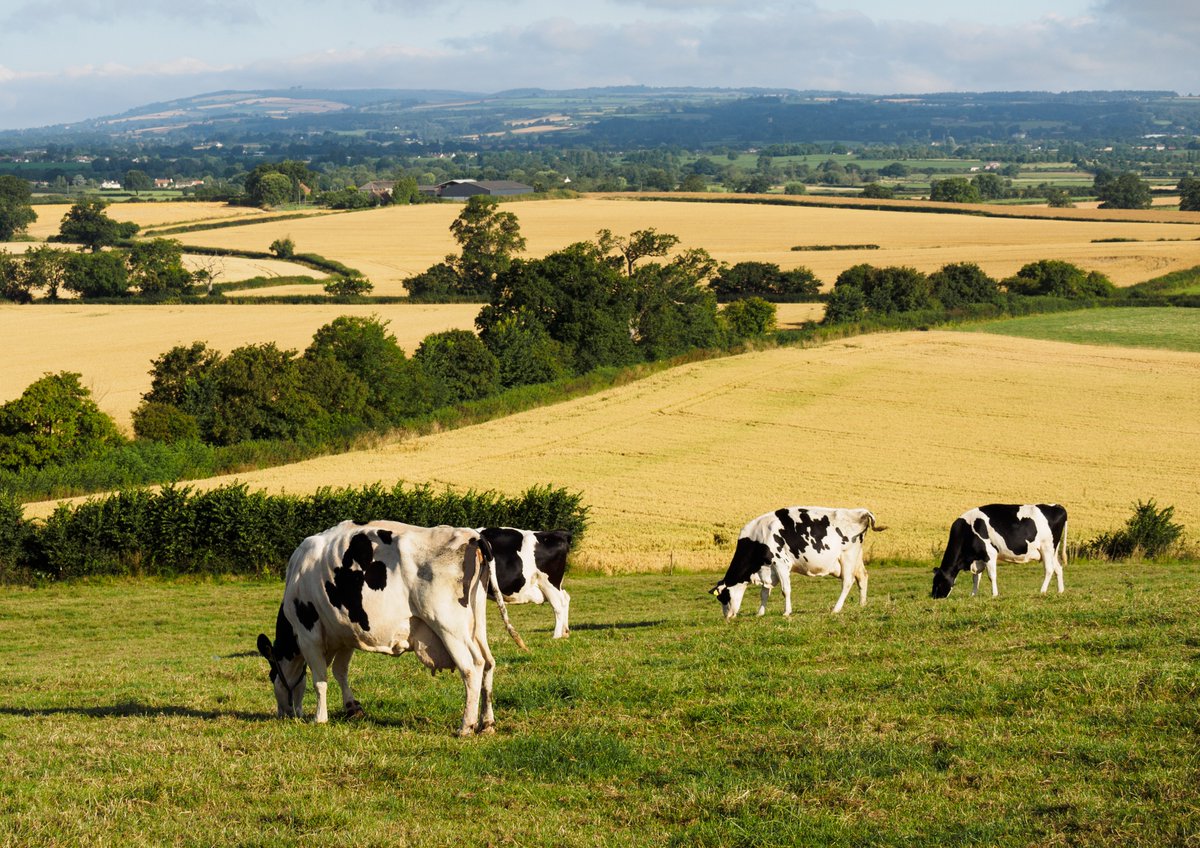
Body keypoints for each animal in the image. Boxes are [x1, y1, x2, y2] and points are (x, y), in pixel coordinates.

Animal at [255, 518, 523, 734]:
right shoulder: (345, 632)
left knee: (472, 667)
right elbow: (340, 672)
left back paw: (466, 725)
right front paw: (352, 708)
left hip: (449, 625)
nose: (285, 713)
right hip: (476, 624)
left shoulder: (308, 634)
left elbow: (320, 678)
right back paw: (486, 723)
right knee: (488, 663)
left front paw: (320, 718)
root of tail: (473, 535)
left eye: (271, 675)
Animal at [705, 503, 888, 618]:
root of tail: (859, 512)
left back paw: (836, 609)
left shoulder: (780, 563)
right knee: (862, 577)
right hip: (857, 557)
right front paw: (760, 613)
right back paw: (862, 604)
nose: (727, 616)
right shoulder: (768, 569)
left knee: (848, 582)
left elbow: (785, 590)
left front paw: (786, 612)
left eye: (723, 597)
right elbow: (764, 593)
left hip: (847, 556)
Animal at [931, 501, 1075, 599]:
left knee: (1049, 569)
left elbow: (991, 576)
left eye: (938, 582)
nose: (934, 597)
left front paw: (994, 594)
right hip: (1053, 550)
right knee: (1058, 568)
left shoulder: (989, 554)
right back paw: (1060, 591)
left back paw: (1042, 591)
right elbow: (976, 577)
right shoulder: (978, 558)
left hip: (1047, 548)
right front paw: (973, 594)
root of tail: (1055, 506)